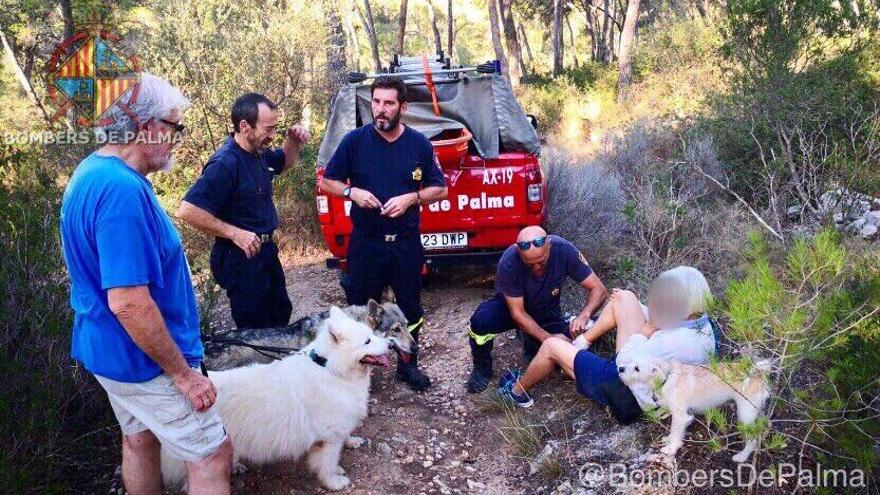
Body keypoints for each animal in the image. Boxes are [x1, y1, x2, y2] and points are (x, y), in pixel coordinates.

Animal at [161, 306, 392, 492]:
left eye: (372, 333)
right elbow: (327, 464)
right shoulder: (328, 439)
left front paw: (348, 448)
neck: (329, 368)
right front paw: (334, 482)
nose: (390, 344)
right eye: (367, 341)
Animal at [620, 356, 768, 464]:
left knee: (753, 439)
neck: (667, 377)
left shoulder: (680, 416)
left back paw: (742, 457)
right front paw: (668, 439)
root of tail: (759, 375)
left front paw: (671, 449)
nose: (620, 368)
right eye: (631, 361)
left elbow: (676, 432)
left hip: (745, 414)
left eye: (637, 368)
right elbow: (673, 432)